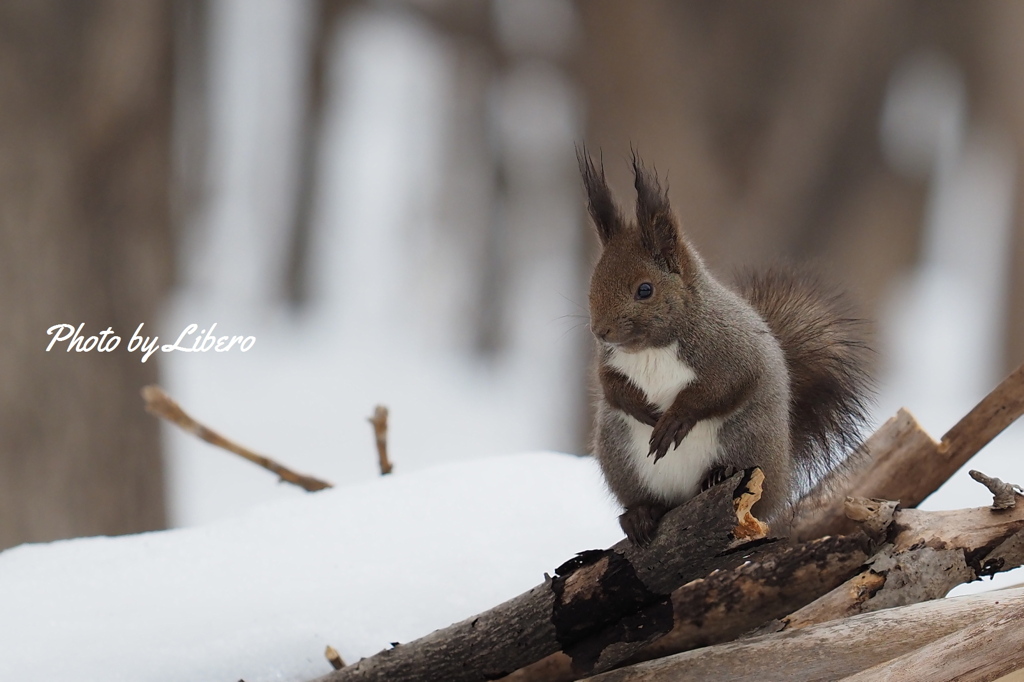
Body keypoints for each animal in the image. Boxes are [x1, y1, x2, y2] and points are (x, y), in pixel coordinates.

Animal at [581, 151, 868, 544]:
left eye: (645, 289)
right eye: (593, 283)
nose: (601, 332)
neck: (652, 347)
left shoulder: (732, 348)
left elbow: (724, 387)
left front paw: (674, 418)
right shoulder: (608, 362)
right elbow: (609, 387)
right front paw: (642, 408)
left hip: (748, 441)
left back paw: (716, 476)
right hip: (619, 456)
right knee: (647, 499)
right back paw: (640, 515)